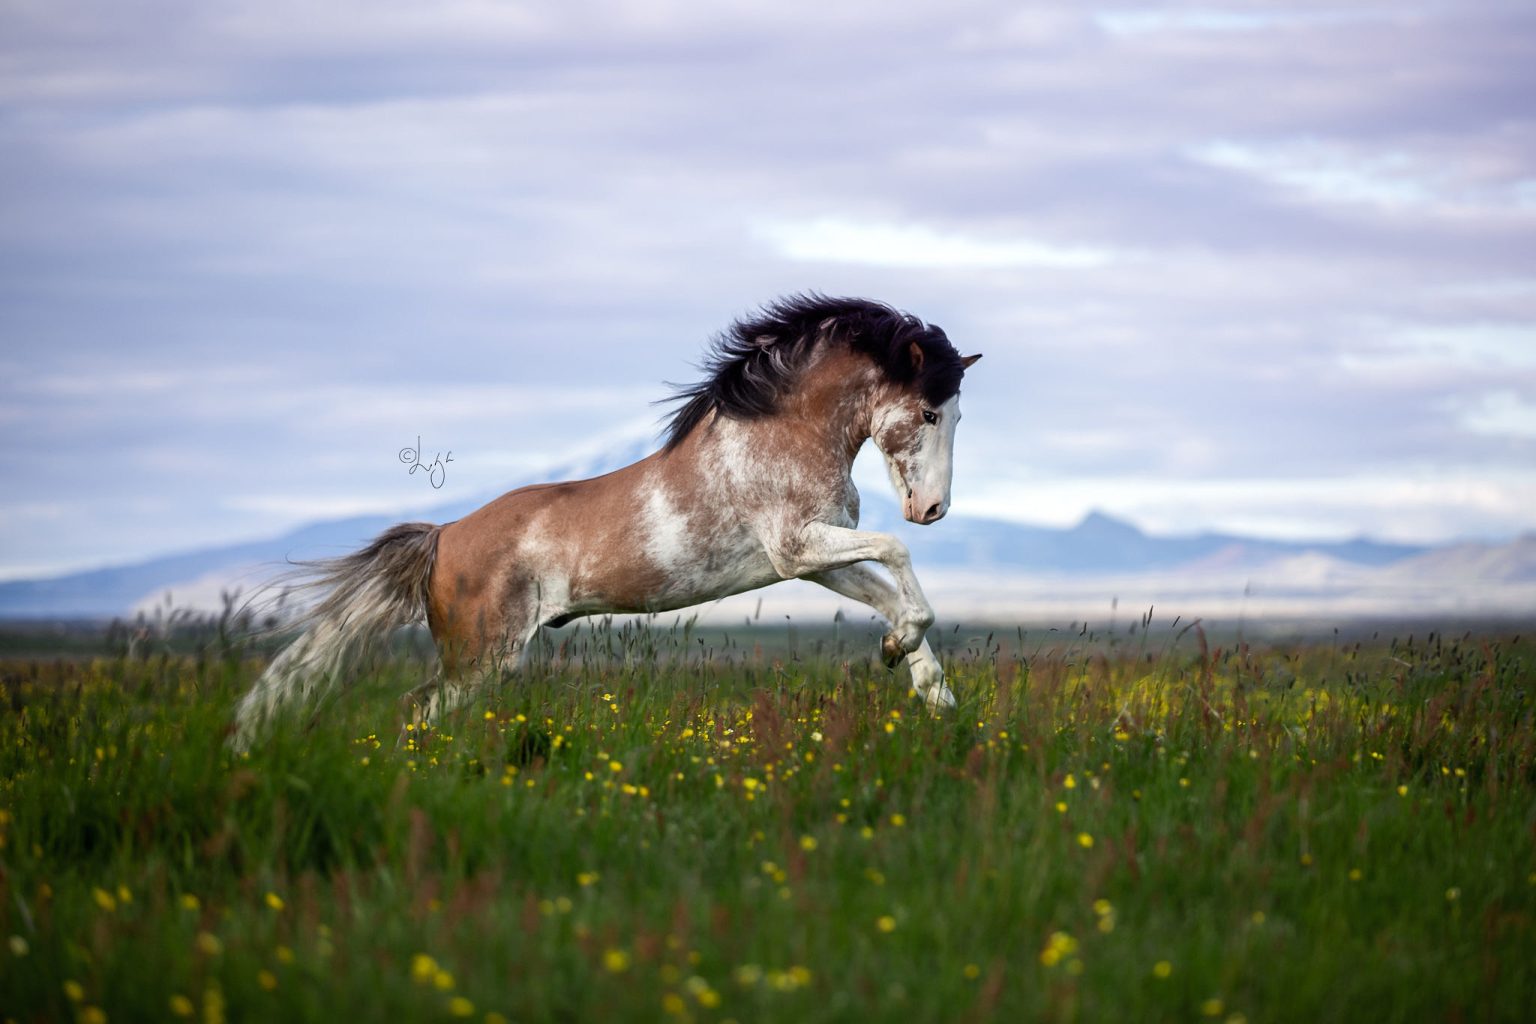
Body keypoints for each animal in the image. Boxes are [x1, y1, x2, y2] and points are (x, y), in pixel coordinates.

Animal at [232, 294, 980, 749]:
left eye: (957, 415)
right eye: (929, 412)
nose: (932, 510)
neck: (781, 434)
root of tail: (442, 539)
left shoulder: (809, 564)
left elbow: (892, 597)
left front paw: (923, 682)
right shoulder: (797, 548)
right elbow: (897, 555)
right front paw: (913, 667)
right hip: (483, 658)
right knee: (415, 707)